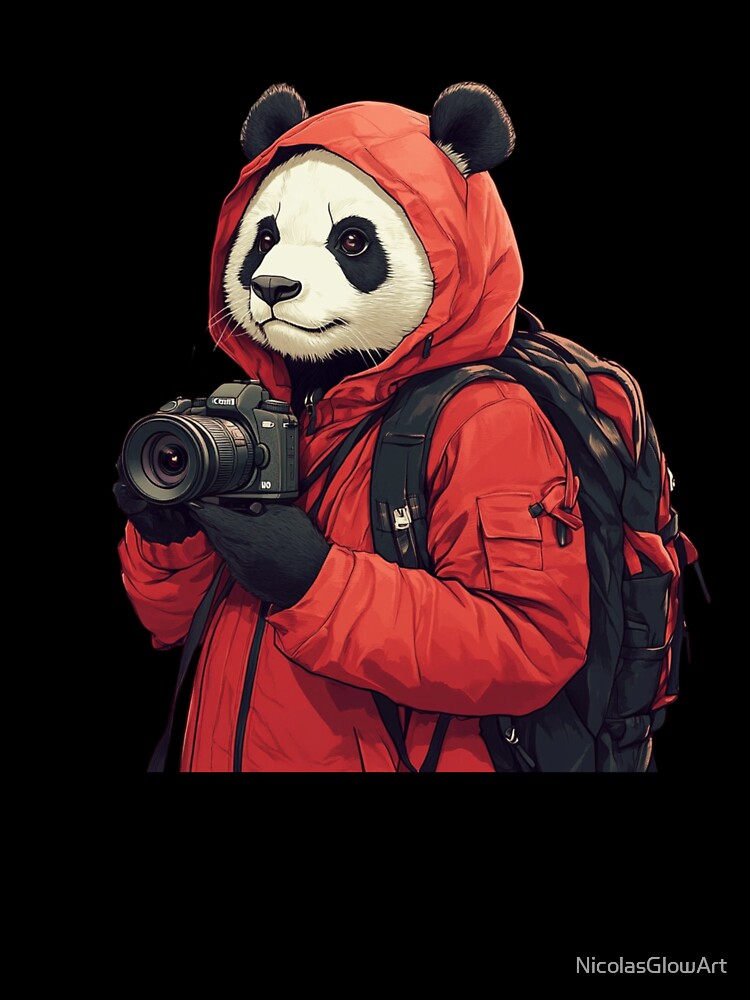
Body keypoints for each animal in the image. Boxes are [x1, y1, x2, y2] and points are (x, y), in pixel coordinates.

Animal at [116, 83, 592, 772]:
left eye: (353, 241)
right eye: (263, 236)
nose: (272, 286)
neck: (321, 391)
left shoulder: (498, 429)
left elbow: (511, 630)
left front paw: (279, 554)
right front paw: (159, 521)